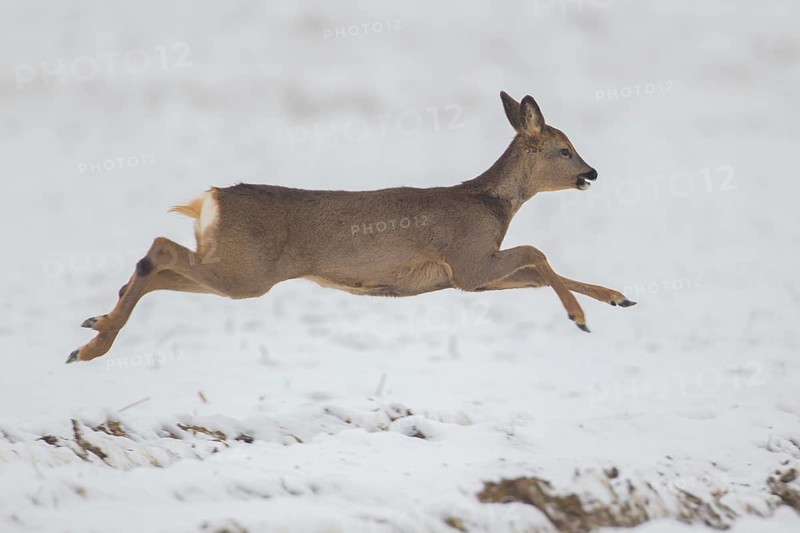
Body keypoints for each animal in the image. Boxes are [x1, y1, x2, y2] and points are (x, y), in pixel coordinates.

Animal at [67, 91, 636, 364]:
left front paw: (617, 298)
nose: (591, 173)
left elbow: (538, 273)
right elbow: (538, 253)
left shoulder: (467, 278)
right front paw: (580, 316)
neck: (491, 205)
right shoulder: (469, 261)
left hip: (234, 270)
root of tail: (210, 200)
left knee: (159, 269)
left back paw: (93, 330)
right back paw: (94, 343)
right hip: (246, 271)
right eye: (564, 149)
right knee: (159, 251)